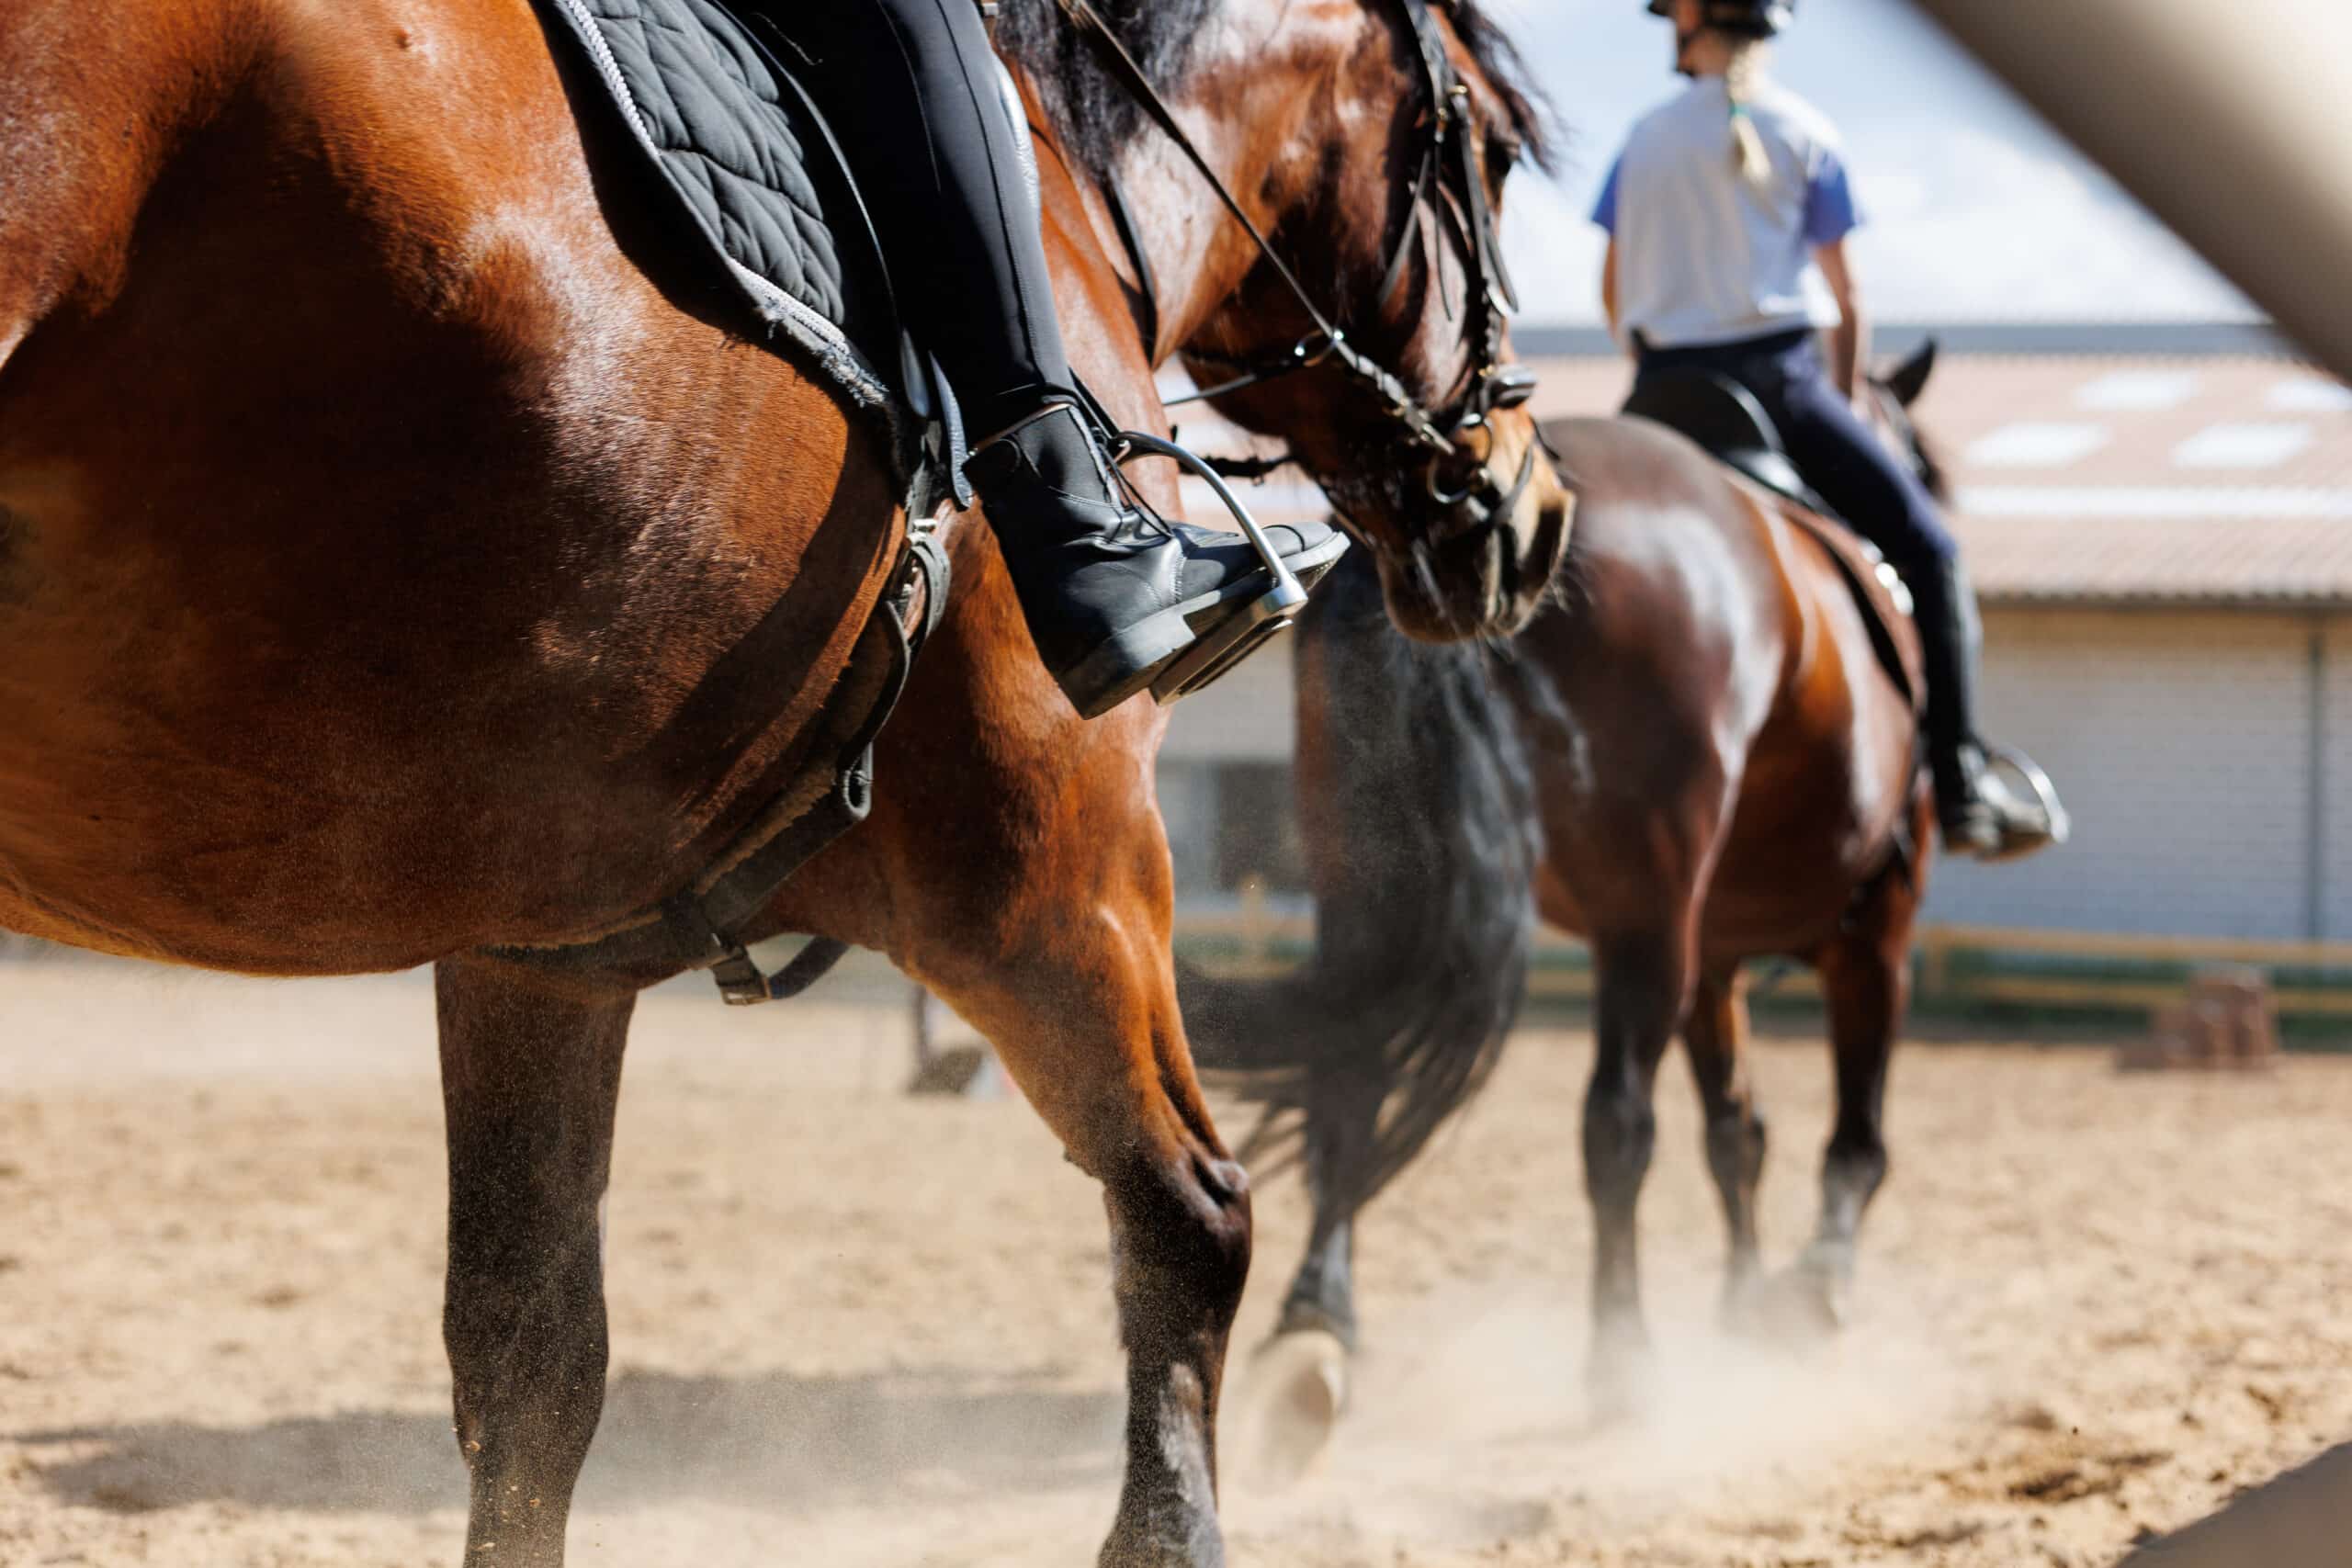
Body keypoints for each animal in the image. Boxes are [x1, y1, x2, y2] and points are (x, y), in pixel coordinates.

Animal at [0, 2, 1571, 1562]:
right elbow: (1192, 1221)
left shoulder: (543, 950)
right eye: (1487, 155)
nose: (1532, 510)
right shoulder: (1062, 868)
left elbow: (529, 1362)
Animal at [1187, 346, 1947, 1468]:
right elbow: (1851, 1135)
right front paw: (1810, 1289)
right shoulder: (1870, 931)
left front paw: (1742, 1304)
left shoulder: (1716, 956)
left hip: (1368, 887)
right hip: (1650, 917)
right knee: (1615, 1125)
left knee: (1349, 1077)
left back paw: (1315, 1336)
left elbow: (1737, 1132)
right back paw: (1622, 1365)